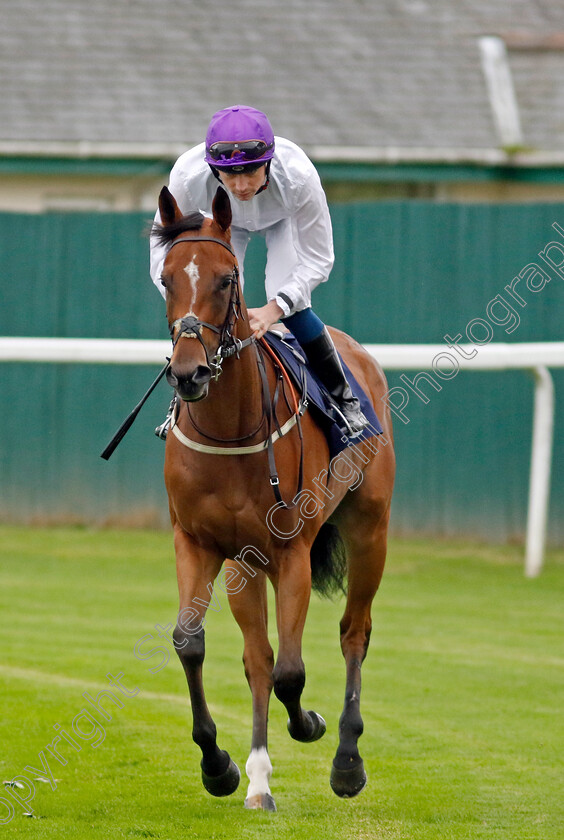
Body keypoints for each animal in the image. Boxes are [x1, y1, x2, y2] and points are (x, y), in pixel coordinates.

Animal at [152, 185, 394, 812]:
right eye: (166, 278)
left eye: (227, 279)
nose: (188, 374)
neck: (229, 429)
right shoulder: (199, 541)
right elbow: (192, 644)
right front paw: (219, 766)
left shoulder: (291, 552)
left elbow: (292, 671)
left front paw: (310, 726)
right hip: (245, 562)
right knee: (256, 658)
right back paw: (259, 778)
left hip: (370, 529)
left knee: (353, 632)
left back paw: (346, 760)